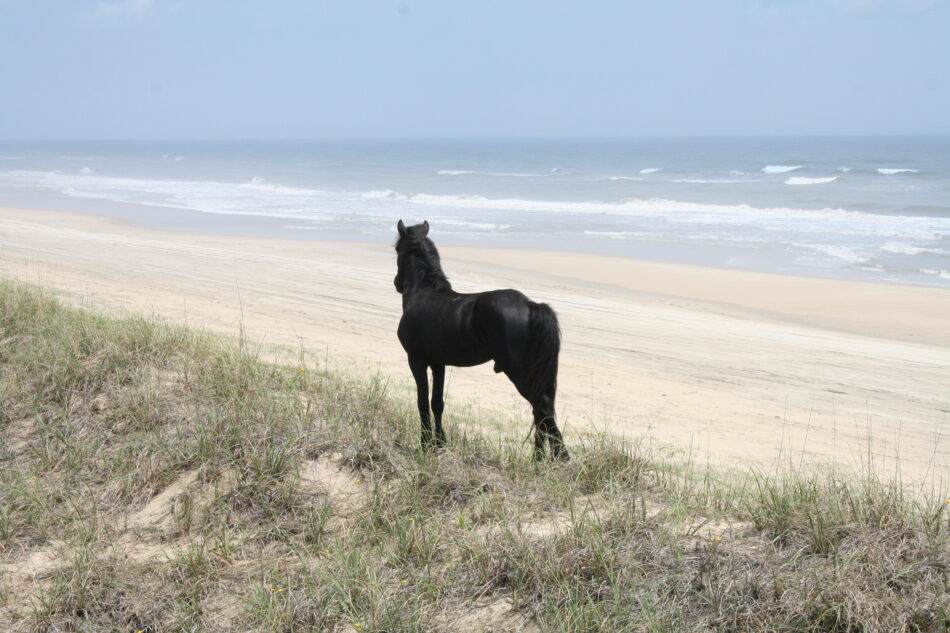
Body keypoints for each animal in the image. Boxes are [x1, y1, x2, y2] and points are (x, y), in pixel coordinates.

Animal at [393, 219, 569, 460]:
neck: (424, 292)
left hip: (519, 372)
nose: (397, 283)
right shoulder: (438, 363)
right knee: (541, 410)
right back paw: (539, 458)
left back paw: (559, 459)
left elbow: (422, 402)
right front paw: (440, 443)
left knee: (542, 408)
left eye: (396, 249)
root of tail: (530, 305)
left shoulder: (416, 360)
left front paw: (425, 444)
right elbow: (437, 402)